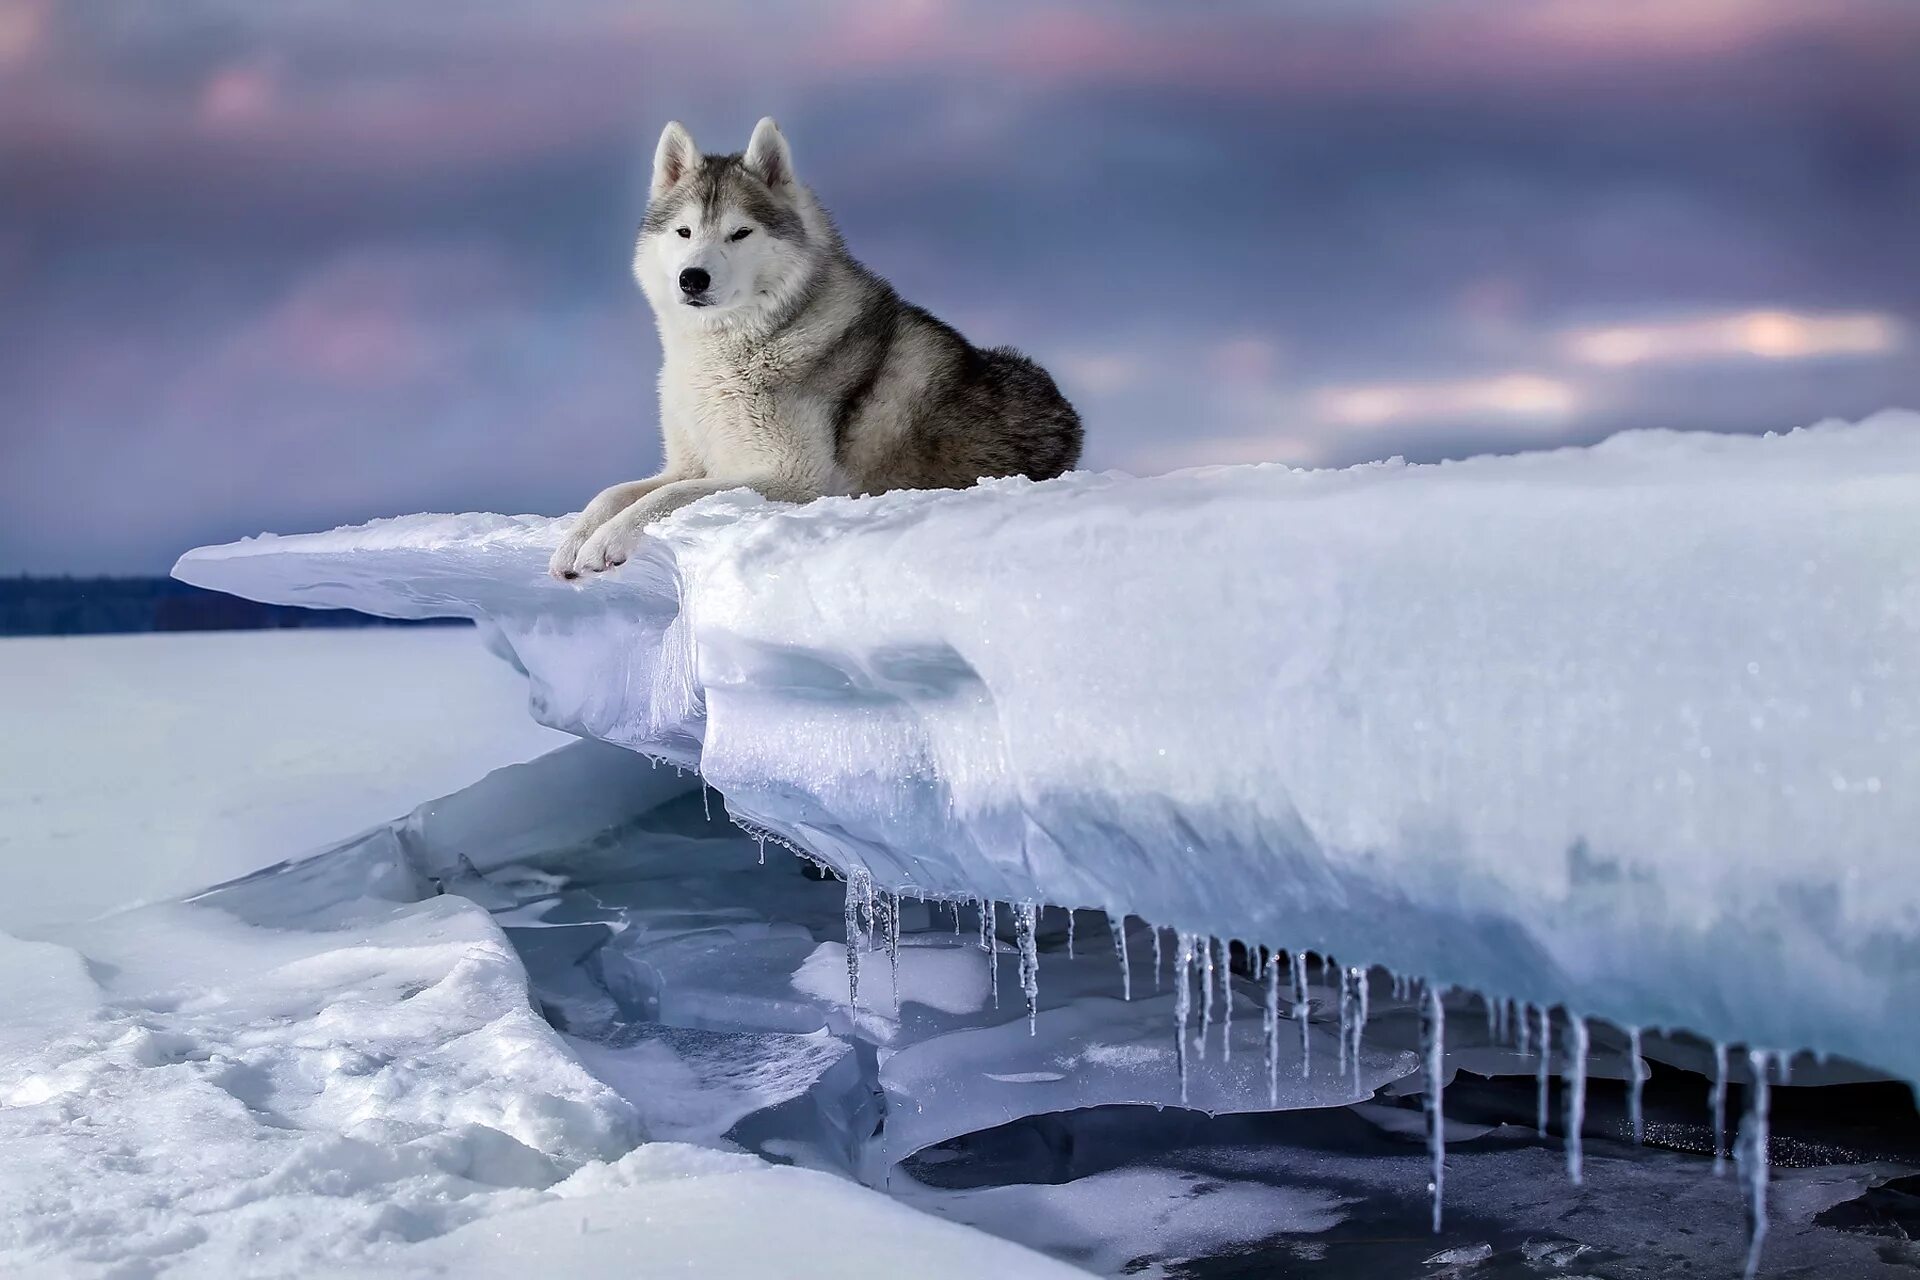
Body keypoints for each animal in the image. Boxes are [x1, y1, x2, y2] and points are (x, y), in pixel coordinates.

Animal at [552, 119, 1082, 579]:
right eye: (683, 232)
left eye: (740, 232)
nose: (692, 278)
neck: (728, 353)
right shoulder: (691, 462)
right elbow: (613, 493)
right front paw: (571, 543)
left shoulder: (793, 477)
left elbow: (666, 497)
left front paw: (605, 542)